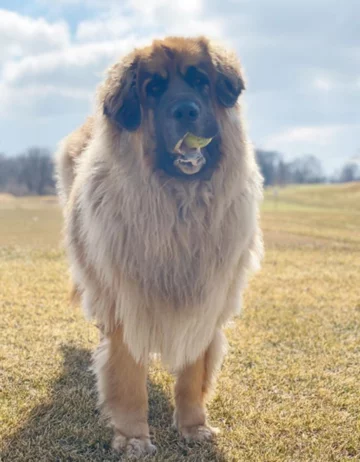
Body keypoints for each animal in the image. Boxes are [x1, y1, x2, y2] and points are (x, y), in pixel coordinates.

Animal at [57, 37, 264, 458]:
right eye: (153, 89)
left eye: (200, 81)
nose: (186, 110)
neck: (180, 205)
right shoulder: (127, 303)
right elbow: (128, 378)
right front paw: (134, 436)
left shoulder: (205, 299)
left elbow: (192, 374)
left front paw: (193, 427)